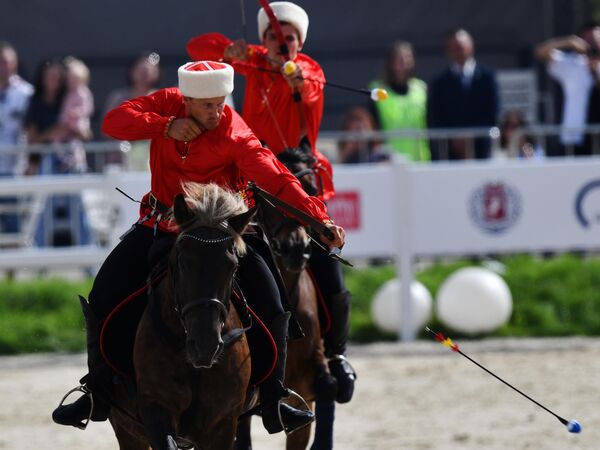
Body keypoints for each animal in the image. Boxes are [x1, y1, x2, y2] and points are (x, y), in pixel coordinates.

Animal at [108, 184, 253, 450]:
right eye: (182, 262)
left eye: (233, 267)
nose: (205, 346)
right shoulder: (156, 409)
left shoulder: (222, 423)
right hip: (126, 429)